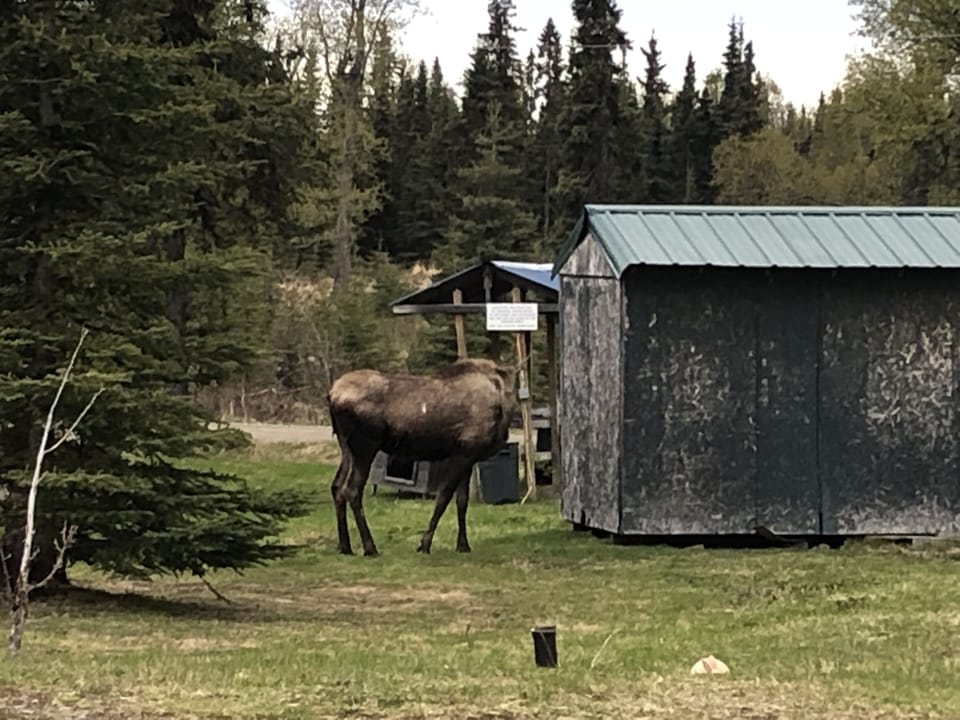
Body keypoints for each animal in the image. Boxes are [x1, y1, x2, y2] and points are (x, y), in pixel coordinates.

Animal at [326, 357, 521, 556]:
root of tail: (332, 395)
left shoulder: (468, 458)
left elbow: (462, 501)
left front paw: (463, 545)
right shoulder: (462, 454)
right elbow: (443, 498)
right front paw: (425, 544)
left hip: (346, 450)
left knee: (337, 487)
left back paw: (345, 546)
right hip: (365, 447)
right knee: (352, 489)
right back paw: (370, 547)